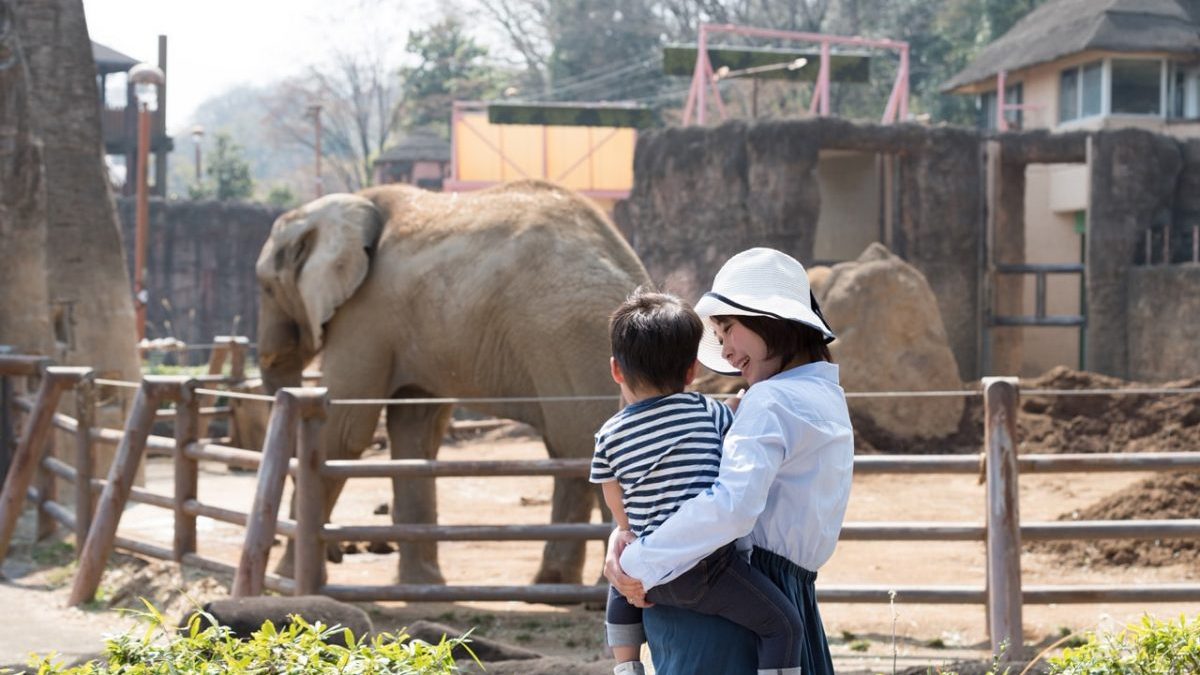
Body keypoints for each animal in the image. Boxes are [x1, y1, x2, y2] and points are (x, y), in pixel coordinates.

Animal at [250, 180, 648, 583]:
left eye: (266, 287)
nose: (338, 555)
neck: (352, 204)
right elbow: (416, 433)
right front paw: (420, 585)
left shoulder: (366, 314)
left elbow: (345, 432)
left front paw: (283, 580)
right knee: (566, 445)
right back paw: (553, 583)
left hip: (571, 341)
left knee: (580, 441)